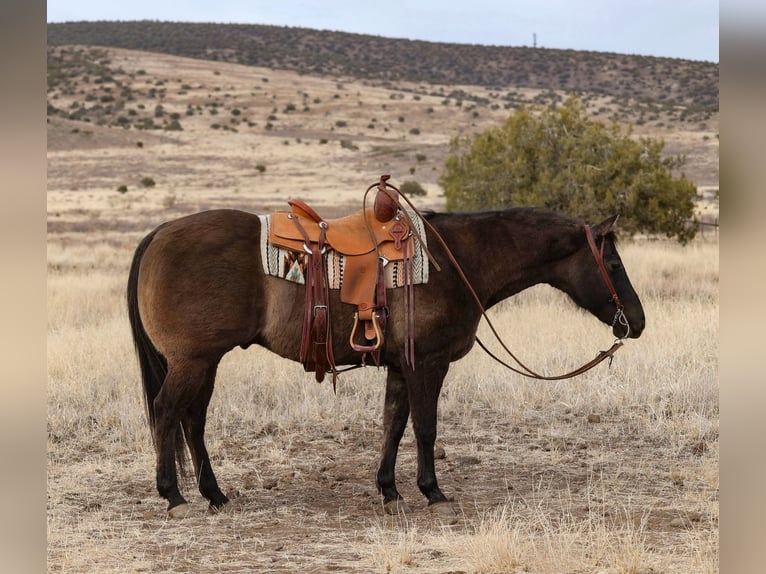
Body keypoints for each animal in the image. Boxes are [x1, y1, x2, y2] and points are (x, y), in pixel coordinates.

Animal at [129, 206, 644, 516]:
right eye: (614, 265)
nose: (636, 322)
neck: (455, 262)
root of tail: (159, 233)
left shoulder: (399, 366)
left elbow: (393, 424)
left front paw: (389, 490)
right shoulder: (427, 363)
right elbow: (425, 427)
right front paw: (433, 492)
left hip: (204, 363)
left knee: (192, 422)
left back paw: (214, 494)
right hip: (193, 362)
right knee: (167, 412)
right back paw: (173, 495)